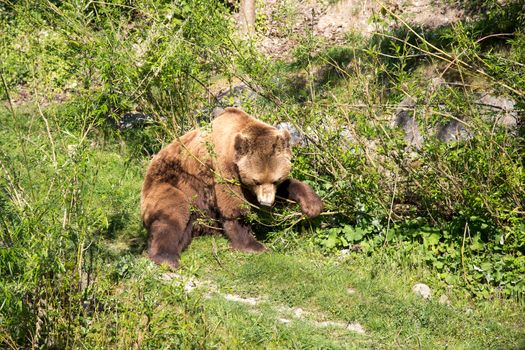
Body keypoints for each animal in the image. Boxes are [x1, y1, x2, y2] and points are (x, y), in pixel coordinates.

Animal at [141, 106, 322, 268]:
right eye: (256, 180)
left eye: (276, 179)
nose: (265, 202)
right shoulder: (222, 168)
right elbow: (232, 204)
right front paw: (253, 244)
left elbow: (288, 187)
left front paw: (312, 205)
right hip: (170, 183)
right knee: (173, 213)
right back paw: (167, 257)